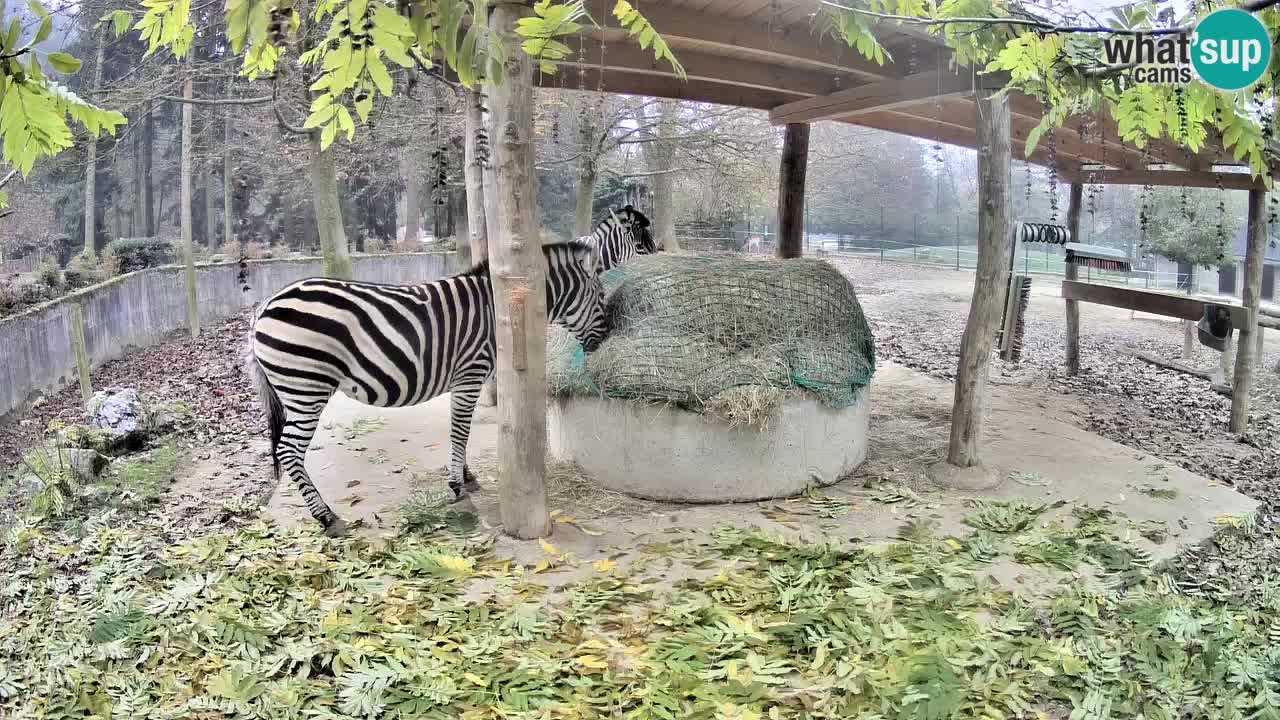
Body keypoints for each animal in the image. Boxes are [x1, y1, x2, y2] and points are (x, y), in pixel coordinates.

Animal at [252, 239, 611, 532]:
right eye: (602, 296)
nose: (606, 338)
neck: (498, 308)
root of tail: (264, 306)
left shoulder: (461, 379)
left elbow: (457, 429)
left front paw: (464, 475)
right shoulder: (470, 372)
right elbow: (460, 431)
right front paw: (456, 486)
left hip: (298, 388)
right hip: (306, 388)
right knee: (288, 450)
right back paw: (326, 517)